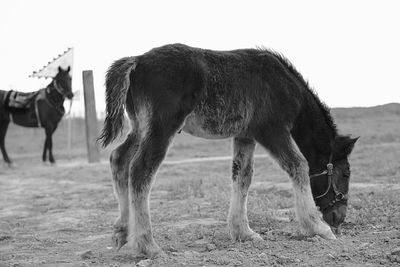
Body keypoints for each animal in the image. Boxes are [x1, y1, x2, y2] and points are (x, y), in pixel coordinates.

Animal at [98, 44, 358, 260]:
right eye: (346, 173)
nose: (339, 217)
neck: (284, 85)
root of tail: (137, 60)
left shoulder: (245, 136)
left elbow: (242, 177)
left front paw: (243, 232)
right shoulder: (271, 130)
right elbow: (298, 165)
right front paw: (318, 227)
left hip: (139, 127)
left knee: (119, 159)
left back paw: (122, 232)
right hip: (161, 128)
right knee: (141, 170)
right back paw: (148, 246)